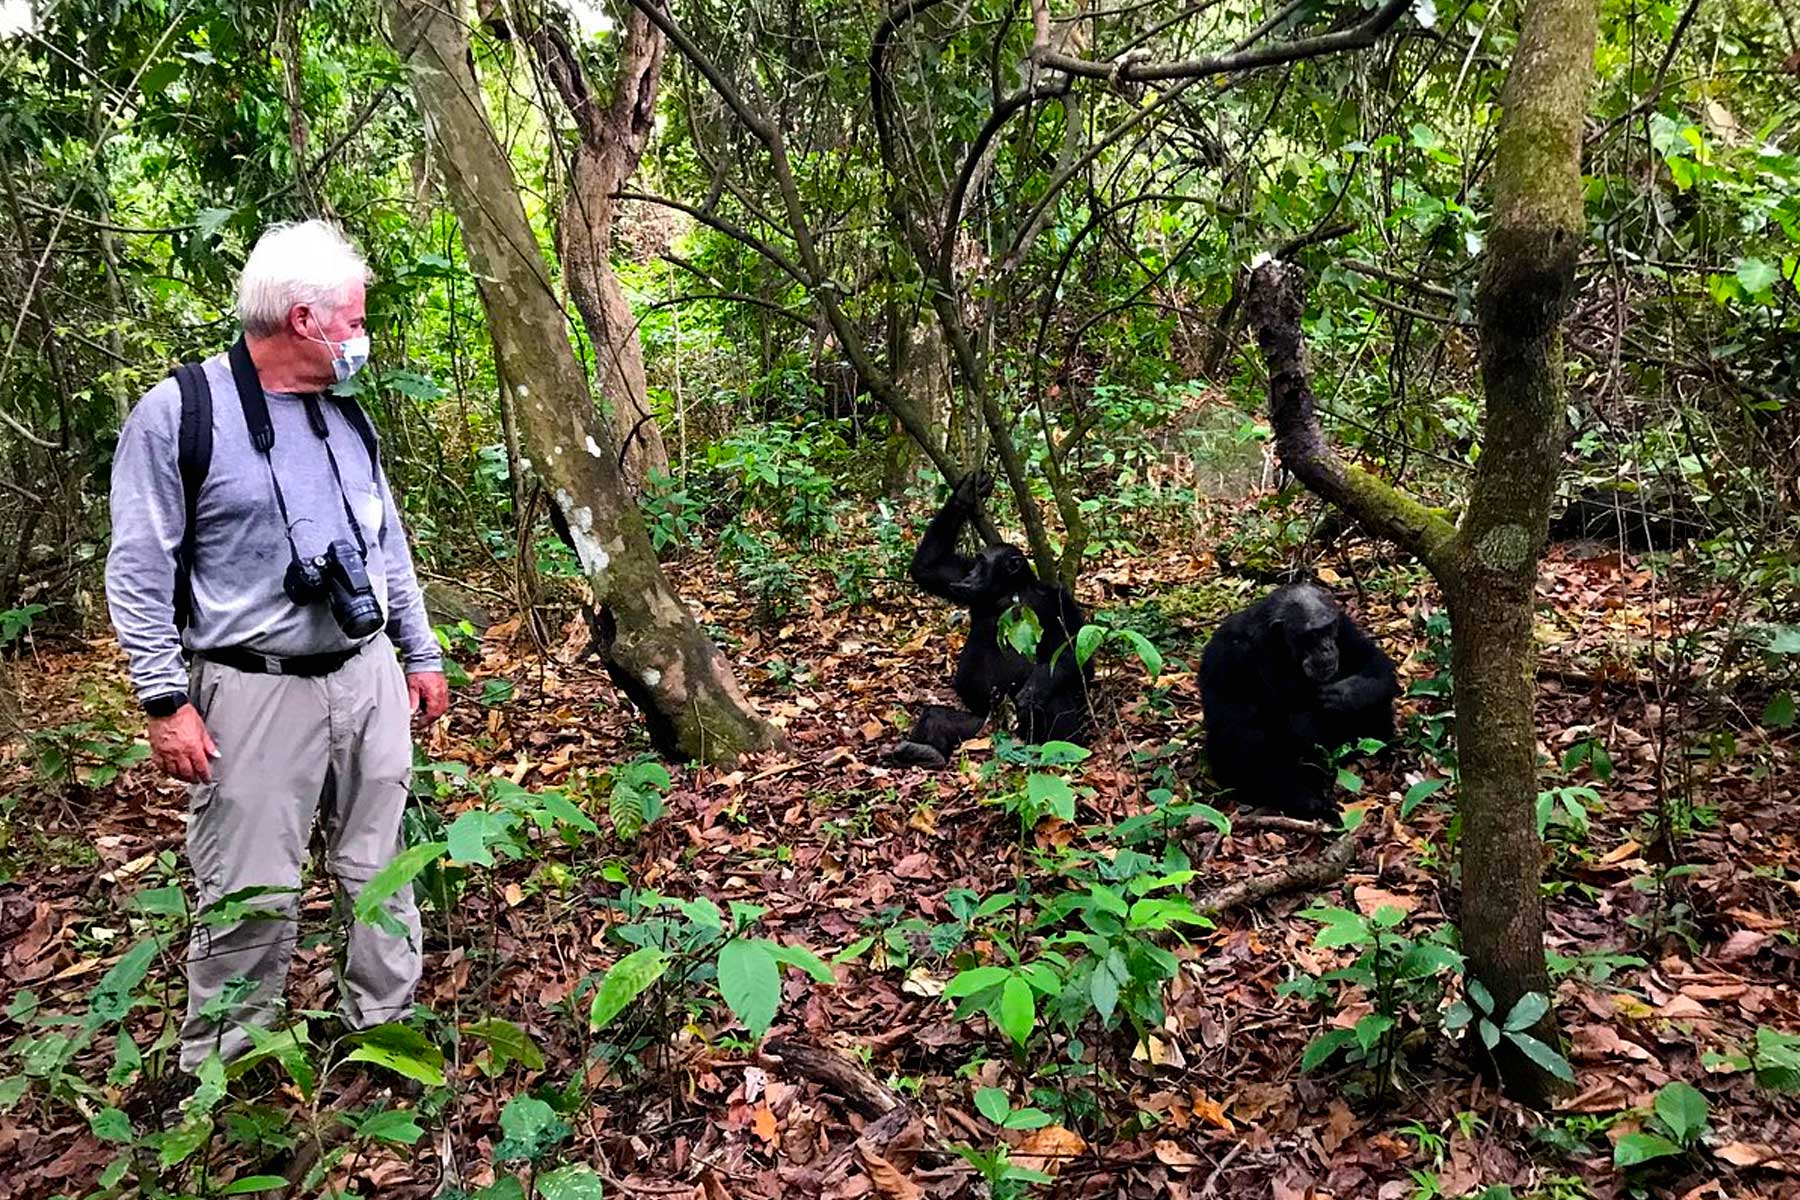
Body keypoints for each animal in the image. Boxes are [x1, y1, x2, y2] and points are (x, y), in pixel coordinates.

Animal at [889, 471, 1087, 770]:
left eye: (983, 564)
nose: (972, 574)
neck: (1010, 592)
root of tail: (1004, 734)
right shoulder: (957, 575)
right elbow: (928, 567)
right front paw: (967, 493)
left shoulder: (1058, 601)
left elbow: (1077, 650)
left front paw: (1035, 687)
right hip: (982, 727)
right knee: (937, 717)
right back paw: (924, 750)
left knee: (1056, 693)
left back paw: (1062, 750)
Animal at [1202, 582, 1396, 827]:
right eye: (1313, 634)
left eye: (1328, 629)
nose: (1327, 648)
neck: (1279, 647)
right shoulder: (1229, 658)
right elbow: (1241, 738)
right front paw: (1308, 802)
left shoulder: (1344, 626)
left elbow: (1372, 659)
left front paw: (1346, 695)